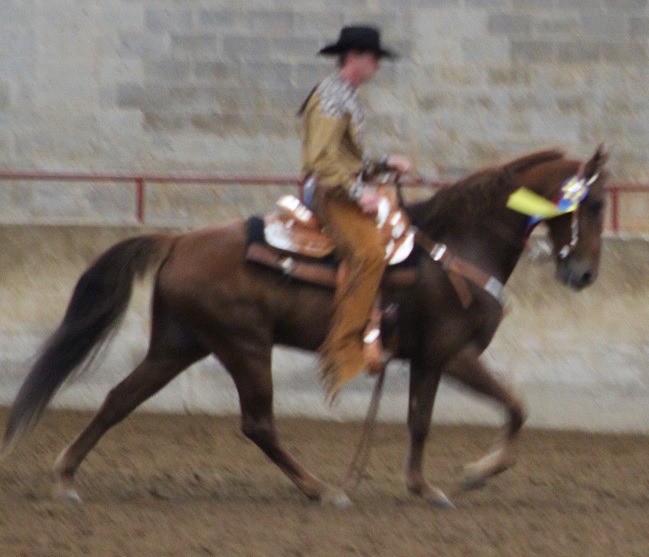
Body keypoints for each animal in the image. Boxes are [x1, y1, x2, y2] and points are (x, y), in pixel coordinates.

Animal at [0, 146, 608, 507]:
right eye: (594, 203)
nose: (583, 274)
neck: (456, 248)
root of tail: (178, 240)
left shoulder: (428, 359)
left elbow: (420, 422)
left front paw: (423, 487)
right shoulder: (455, 354)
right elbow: (516, 406)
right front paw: (475, 473)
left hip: (179, 345)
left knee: (119, 399)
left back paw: (66, 476)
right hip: (245, 346)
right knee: (258, 423)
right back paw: (321, 489)